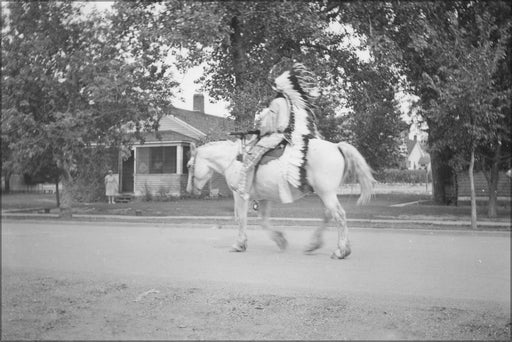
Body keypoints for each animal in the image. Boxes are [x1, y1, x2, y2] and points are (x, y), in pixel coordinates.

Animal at [186, 138, 374, 258]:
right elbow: (263, 221)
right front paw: (280, 240)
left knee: (339, 216)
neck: (234, 160)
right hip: (324, 193)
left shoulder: (240, 195)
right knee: (328, 215)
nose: (189, 190)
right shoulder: (263, 198)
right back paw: (314, 244)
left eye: (188, 165)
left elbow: (241, 219)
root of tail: (336, 146)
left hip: (326, 193)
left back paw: (341, 251)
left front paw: (239, 244)